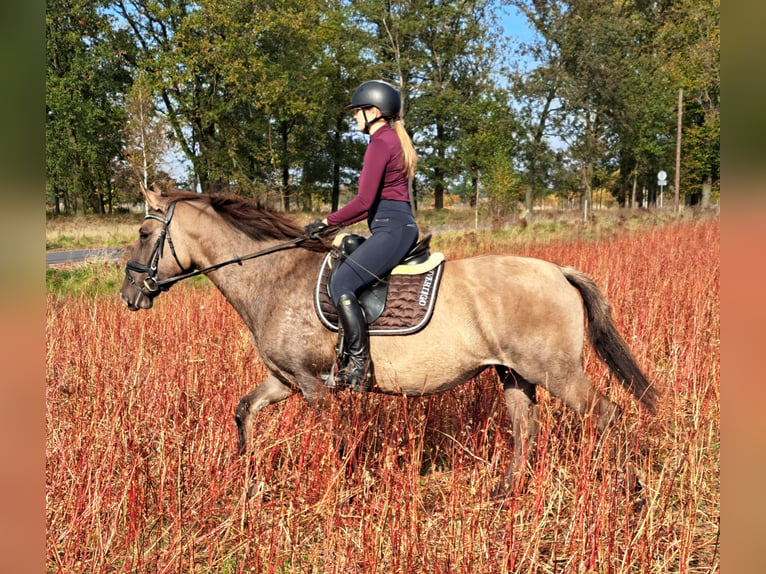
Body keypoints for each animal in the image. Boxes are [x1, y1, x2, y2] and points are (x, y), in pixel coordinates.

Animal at [120, 184, 660, 496]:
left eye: (146, 233)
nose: (129, 294)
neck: (274, 277)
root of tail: (558, 272)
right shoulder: (285, 379)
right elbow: (244, 410)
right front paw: (250, 480)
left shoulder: (311, 385)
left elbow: (336, 438)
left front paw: (345, 489)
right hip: (515, 375)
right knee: (526, 429)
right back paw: (505, 492)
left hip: (557, 372)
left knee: (607, 415)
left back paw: (629, 490)